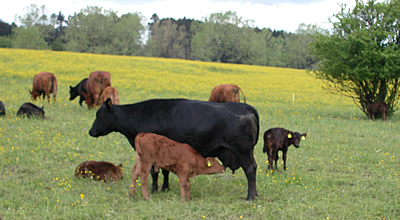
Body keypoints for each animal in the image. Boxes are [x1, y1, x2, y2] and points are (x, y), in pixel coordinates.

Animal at [89, 99, 260, 200]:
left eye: (99, 114)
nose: (91, 131)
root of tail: (245, 106)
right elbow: (165, 171)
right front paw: (165, 188)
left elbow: (155, 172)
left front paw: (154, 190)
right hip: (248, 152)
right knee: (254, 167)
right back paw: (256, 194)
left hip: (243, 151)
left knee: (250, 169)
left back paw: (250, 196)